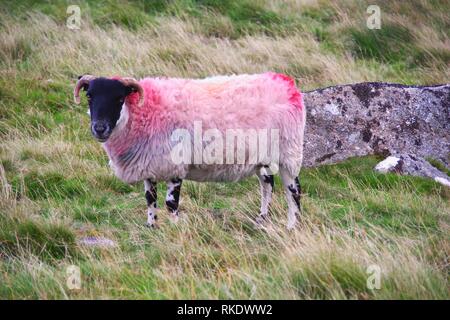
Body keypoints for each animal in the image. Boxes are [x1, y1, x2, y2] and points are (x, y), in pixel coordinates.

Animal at [74, 73, 306, 228]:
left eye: (119, 98)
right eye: (89, 96)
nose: (100, 128)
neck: (144, 111)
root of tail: (286, 83)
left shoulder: (175, 165)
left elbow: (170, 203)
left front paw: (176, 229)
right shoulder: (149, 165)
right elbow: (150, 199)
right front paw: (151, 227)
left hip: (289, 152)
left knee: (293, 190)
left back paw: (292, 225)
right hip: (262, 158)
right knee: (267, 186)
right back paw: (261, 220)